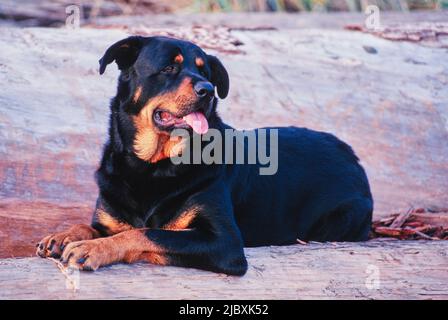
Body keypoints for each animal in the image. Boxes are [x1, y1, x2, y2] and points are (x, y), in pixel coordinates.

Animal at [36, 35, 372, 276]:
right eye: (169, 68)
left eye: (204, 70)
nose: (208, 89)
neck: (152, 166)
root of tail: (350, 152)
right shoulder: (110, 215)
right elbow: (93, 226)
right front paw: (65, 235)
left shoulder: (224, 243)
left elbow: (147, 232)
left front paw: (92, 248)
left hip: (341, 218)